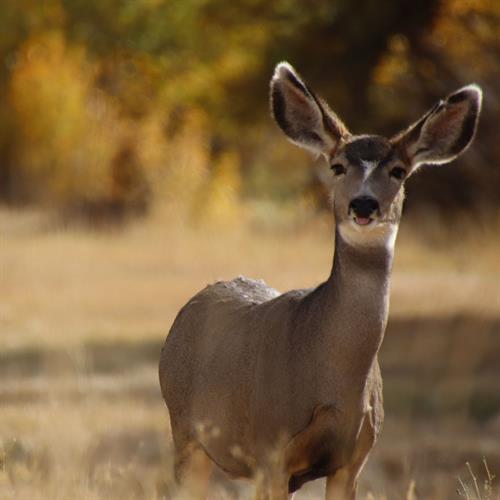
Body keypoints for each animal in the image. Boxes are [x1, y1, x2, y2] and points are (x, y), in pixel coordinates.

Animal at [158, 63, 482, 500]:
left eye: (398, 171)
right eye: (338, 167)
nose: (363, 204)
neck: (333, 379)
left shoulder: (354, 458)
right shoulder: (271, 446)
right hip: (184, 430)